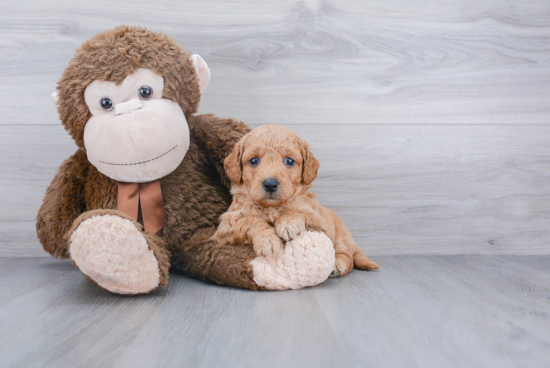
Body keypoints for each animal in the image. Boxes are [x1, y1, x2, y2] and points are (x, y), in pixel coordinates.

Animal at [213, 125, 382, 274]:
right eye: (254, 161)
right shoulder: (225, 227)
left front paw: (288, 223)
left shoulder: (319, 219)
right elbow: (250, 220)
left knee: (348, 257)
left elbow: (298, 211)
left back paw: (337, 265)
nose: (270, 184)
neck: (272, 207)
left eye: (289, 161)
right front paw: (268, 240)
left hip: (341, 235)